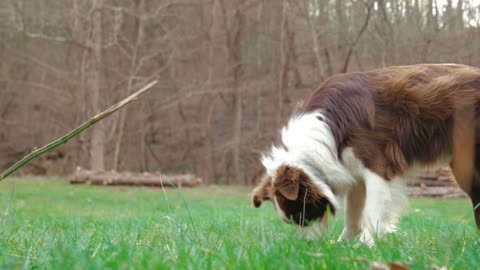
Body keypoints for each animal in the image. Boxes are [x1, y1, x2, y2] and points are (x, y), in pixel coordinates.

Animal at [251, 63, 480, 245]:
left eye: (301, 213)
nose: (309, 246)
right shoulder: (352, 172)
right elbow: (352, 214)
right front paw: (344, 244)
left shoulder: (378, 165)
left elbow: (372, 210)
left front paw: (367, 244)